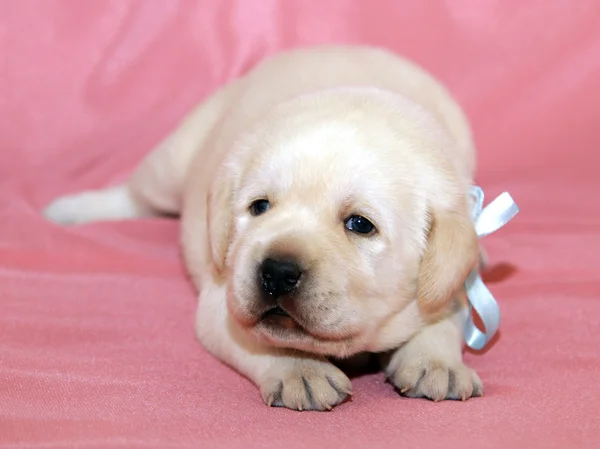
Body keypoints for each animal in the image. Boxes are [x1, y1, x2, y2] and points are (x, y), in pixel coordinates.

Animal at [43, 44, 482, 410]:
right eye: (260, 207)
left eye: (359, 224)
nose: (277, 272)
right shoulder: (223, 300)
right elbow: (261, 337)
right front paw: (300, 369)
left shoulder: (454, 276)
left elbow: (444, 318)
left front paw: (435, 361)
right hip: (172, 163)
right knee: (134, 194)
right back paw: (70, 210)